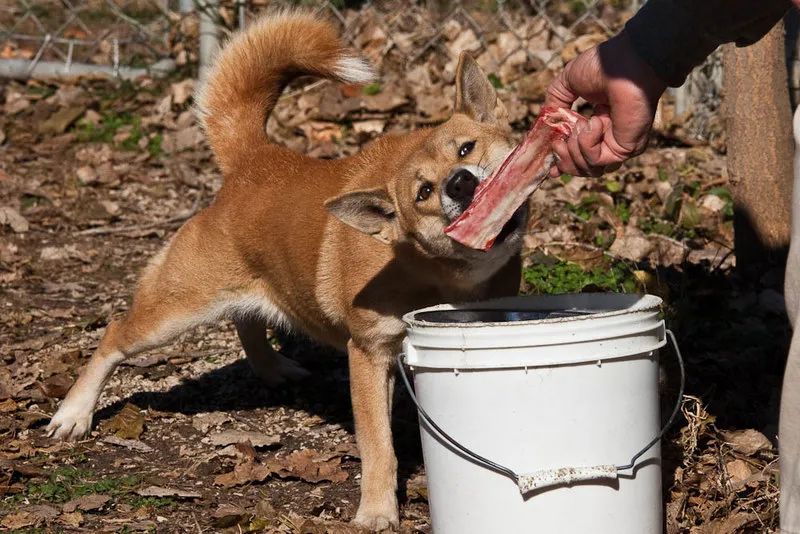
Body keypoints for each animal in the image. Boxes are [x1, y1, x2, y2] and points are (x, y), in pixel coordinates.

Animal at [47, 12, 528, 532]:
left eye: (466, 148)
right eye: (422, 192)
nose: (459, 183)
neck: (436, 273)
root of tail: (254, 158)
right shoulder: (369, 355)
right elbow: (379, 447)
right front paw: (377, 511)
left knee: (247, 318)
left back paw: (275, 367)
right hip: (174, 313)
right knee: (115, 333)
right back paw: (73, 413)